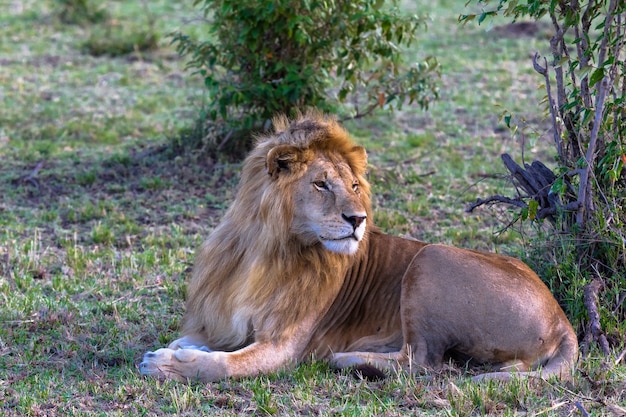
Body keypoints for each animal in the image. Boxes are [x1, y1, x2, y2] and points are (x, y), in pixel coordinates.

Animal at [139, 109, 576, 380]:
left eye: (352, 186)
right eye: (320, 184)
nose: (358, 220)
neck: (267, 251)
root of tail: (561, 318)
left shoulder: (284, 346)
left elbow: (222, 365)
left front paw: (167, 364)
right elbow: (202, 340)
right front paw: (179, 346)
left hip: (431, 257)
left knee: (423, 362)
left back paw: (346, 359)